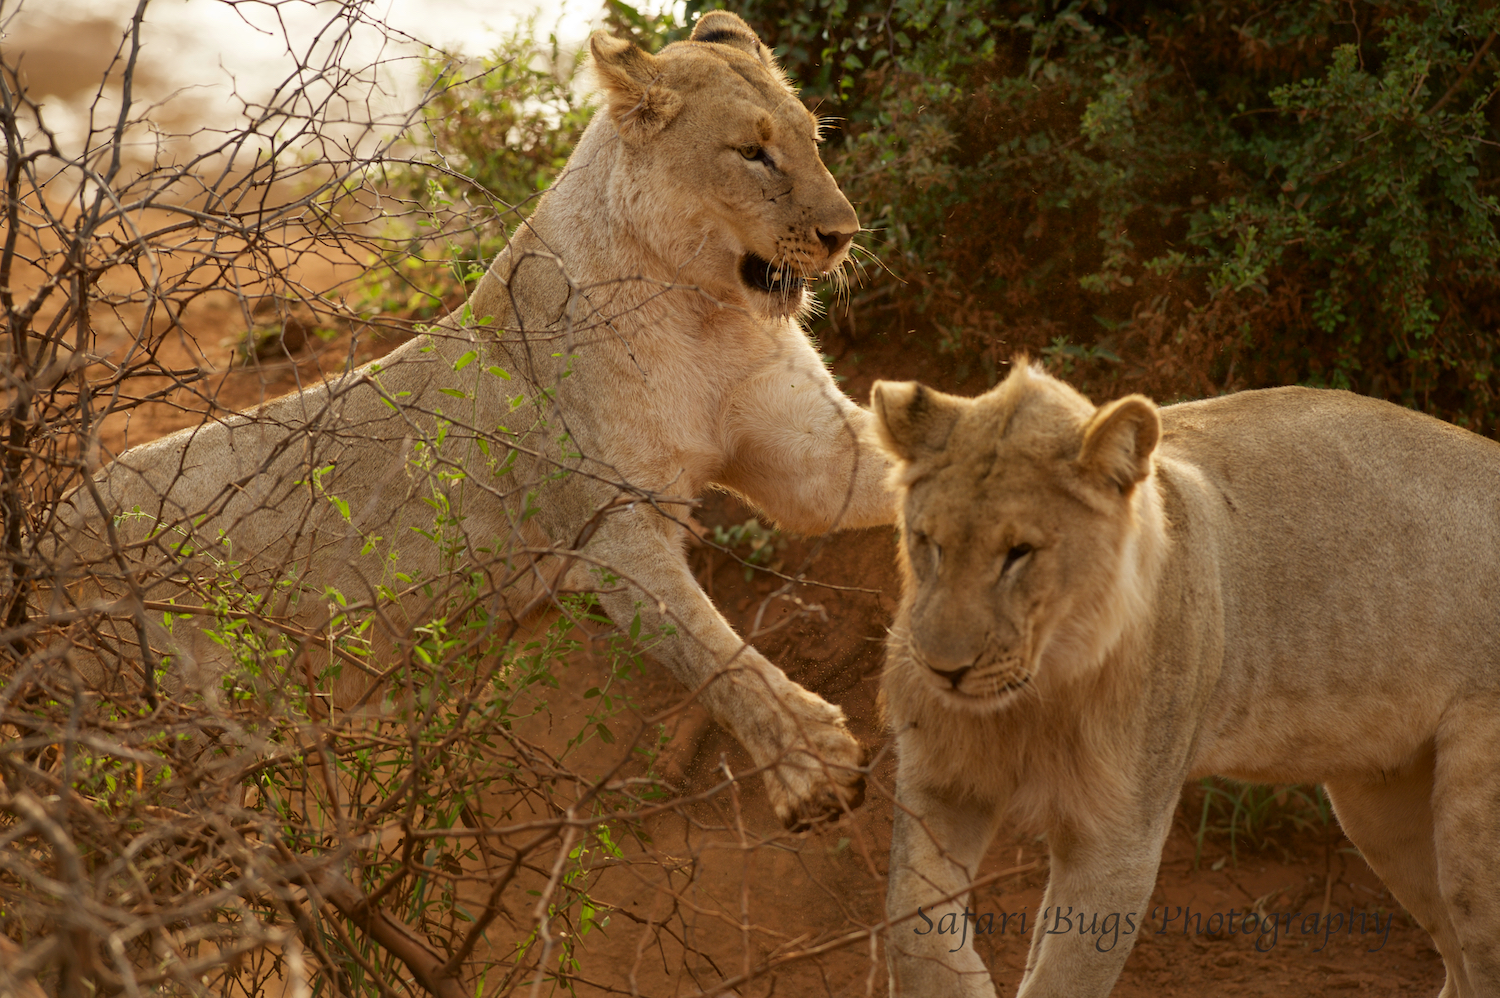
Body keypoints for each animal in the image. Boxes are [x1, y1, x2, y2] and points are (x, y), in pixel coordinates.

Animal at [55, 11, 888, 828]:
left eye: (812, 138)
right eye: (751, 152)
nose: (844, 234)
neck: (707, 311)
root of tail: (58, 520)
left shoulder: (808, 455)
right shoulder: (610, 533)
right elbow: (713, 652)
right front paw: (812, 766)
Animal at [870, 361, 1500, 990]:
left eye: (1019, 552)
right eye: (928, 542)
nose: (943, 670)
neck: (1040, 691)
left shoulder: (1121, 833)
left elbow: (1067, 975)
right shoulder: (942, 780)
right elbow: (909, 918)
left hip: (1472, 832)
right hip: (1380, 803)